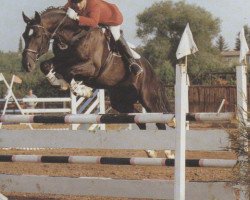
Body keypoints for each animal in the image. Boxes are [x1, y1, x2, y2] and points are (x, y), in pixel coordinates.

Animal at [21, 6, 172, 131]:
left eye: (37, 35)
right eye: (24, 36)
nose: (26, 65)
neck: (74, 36)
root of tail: (152, 72)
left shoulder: (92, 68)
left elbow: (70, 72)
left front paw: (82, 90)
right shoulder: (63, 60)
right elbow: (47, 66)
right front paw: (59, 83)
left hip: (148, 98)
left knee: (159, 121)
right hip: (121, 101)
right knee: (139, 118)